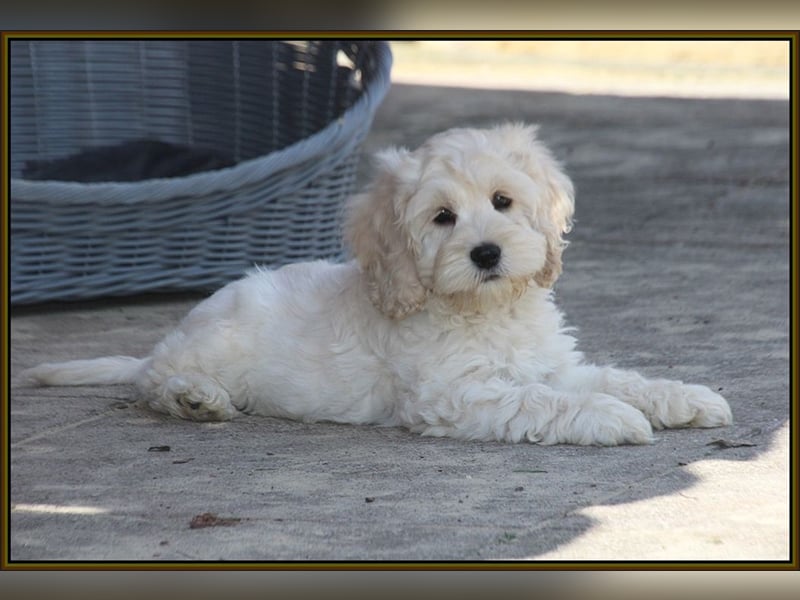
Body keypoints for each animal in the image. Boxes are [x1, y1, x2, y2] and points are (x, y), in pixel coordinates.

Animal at [20, 123, 732, 446]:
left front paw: (683, 397)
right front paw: (612, 418)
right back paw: (195, 398)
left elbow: (614, 376)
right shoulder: (454, 394)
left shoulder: (553, 365)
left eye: (503, 202)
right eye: (442, 217)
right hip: (206, 348)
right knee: (152, 381)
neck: (485, 310)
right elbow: (544, 401)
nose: (486, 253)